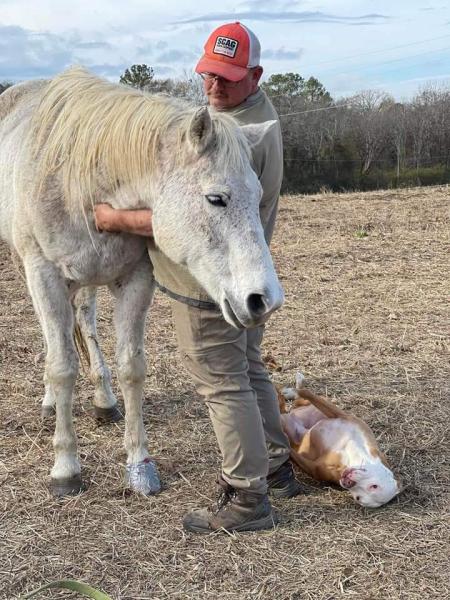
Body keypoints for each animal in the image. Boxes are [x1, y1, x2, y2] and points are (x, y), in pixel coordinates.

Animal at [0, 67, 282, 496]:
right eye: (216, 199)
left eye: (259, 195)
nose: (264, 299)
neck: (82, 178)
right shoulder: (43, 275)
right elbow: (61, 365)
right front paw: (65, 468)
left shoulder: (136, 279)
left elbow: (131, 366)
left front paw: (139, 463)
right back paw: (52, 402)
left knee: (84, 321)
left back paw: (103, 399)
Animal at [282, 376, 400, 506]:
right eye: (374, 486)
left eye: (358, 498)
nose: (347, 484)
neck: (351, 454)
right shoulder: (341, 415)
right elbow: (308, 393)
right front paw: (292, 391)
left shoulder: (313, 468)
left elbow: (292, 453)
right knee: (302, 399)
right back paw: (295, 386)